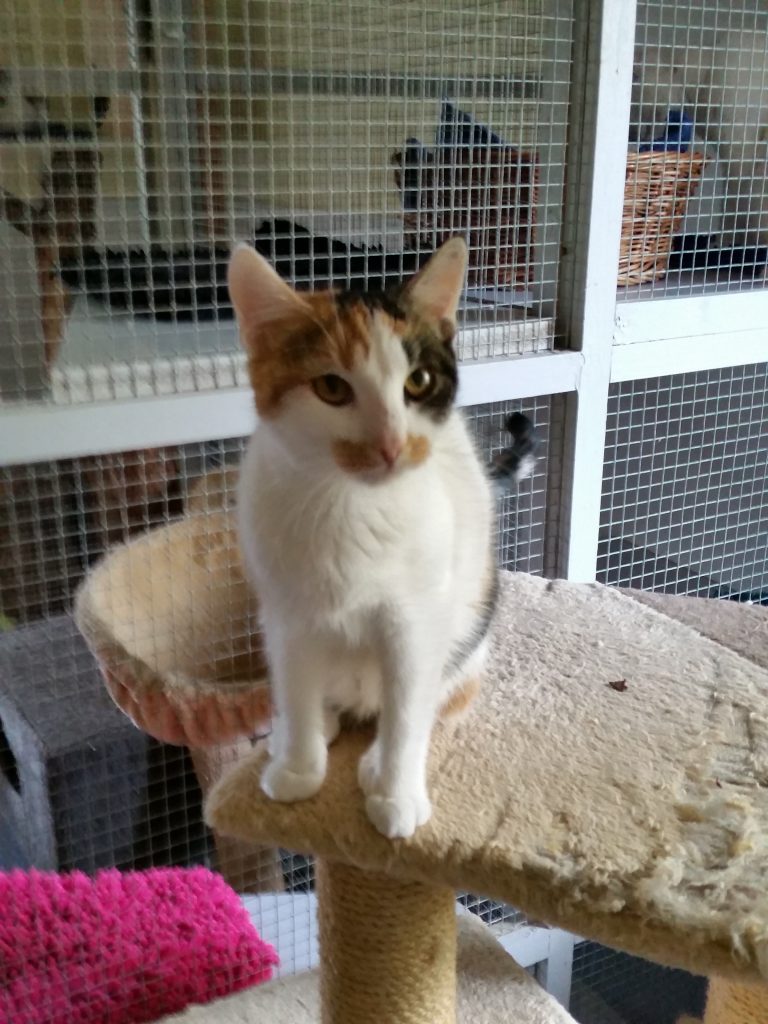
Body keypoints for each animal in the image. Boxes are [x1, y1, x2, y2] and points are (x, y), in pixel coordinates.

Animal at [230, 237, 507, 839]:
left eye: (418, 382)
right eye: (332, 387)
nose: (392, 444)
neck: (350, 505)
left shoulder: (415, 621)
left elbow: (407, 710)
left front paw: (396, 793)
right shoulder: (286, 613)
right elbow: (295, 685)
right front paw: (299, 767)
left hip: (468, 631)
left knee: (427, 701)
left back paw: (379, 761)